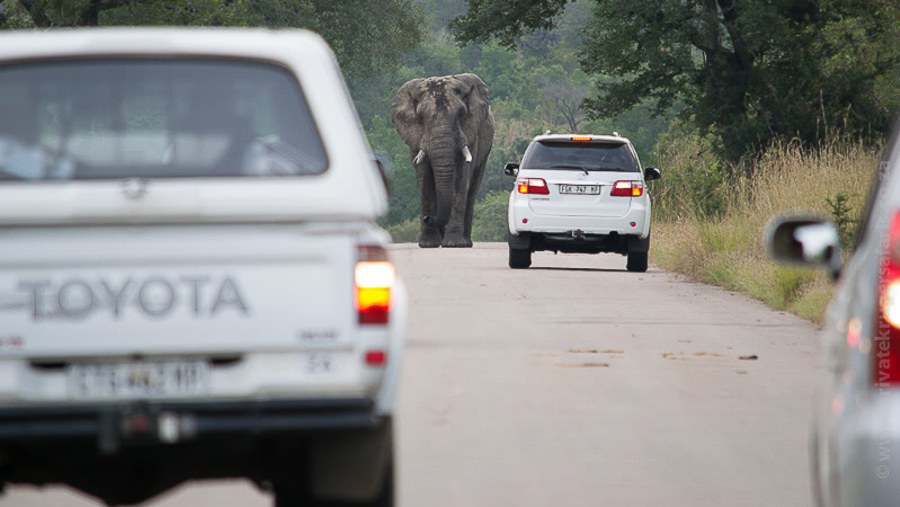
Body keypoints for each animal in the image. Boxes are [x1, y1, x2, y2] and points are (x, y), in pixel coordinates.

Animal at [390, 72, 496, 247]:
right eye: (421, 118)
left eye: (461, 114)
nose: (427, 218)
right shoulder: (416, 139)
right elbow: (424, 179)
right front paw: (428, 244)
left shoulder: (471, 134)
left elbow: (461, 179)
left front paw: (453, 244)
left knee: (472, 189)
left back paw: (465, 242)